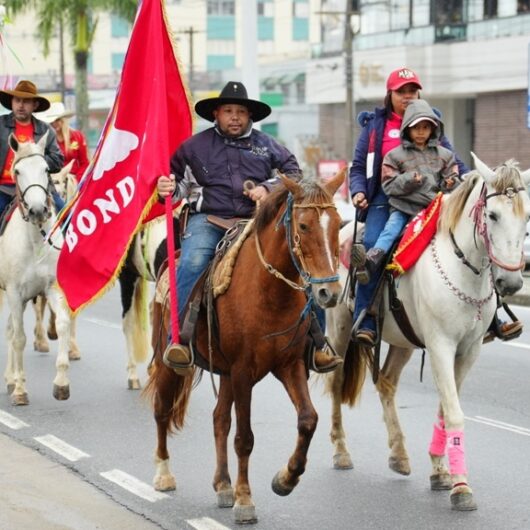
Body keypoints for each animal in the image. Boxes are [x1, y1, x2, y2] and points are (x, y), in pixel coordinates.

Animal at [0, 133, 72, 404]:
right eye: (18, 171)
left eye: (46, 169)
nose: (38, 210)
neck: (35, 241)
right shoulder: (13, 291)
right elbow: (20, 338)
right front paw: (21, 390)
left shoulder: (52, 287)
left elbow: (62, 323)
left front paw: (61, 383)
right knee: (13, 332)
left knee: (10, 329)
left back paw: (10, 379)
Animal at [142, 171, 344, 520]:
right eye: (304, 226)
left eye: (338, 225)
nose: (328, 294)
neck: (269, 292)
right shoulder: (242, 372)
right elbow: (245, 438)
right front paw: (246, 500)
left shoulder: (289, 366)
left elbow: (308, 420)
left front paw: (285, 479)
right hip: (172, 363)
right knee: (162, 409)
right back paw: (164, 474)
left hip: (223, 372)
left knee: (219, 419)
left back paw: (223, 484)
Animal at [324, 155, 524, 510]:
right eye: (493, 215)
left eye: (526, 215)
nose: (511, 283)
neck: (463, 268)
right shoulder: (441, 346)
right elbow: (454, 412)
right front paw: (461, 487)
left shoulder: (469, 350)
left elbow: (445, 408)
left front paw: (440, 471)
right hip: (340, 329)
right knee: (335, 384)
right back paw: (341, 452)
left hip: (403, 340)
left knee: (386, 383)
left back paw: (399, 455)